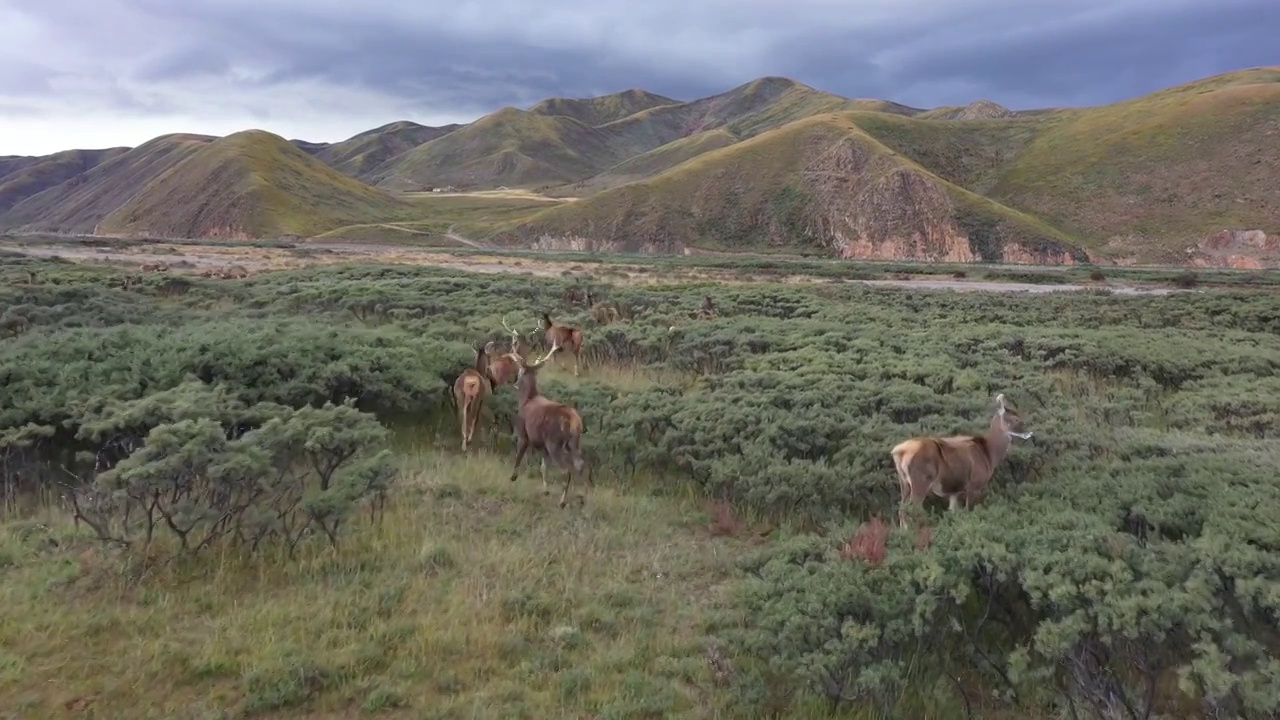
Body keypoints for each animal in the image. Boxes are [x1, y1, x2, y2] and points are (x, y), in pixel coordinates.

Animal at [509, 333, 588, 507]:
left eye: (520, 371)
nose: (515, 382)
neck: (526, 400)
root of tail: (574, 422)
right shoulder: (542, 445)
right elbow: (543, 467)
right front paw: (545, 490)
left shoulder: (523, 433)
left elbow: (518, 457)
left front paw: (513, 477)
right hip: (574, 442)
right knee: (580, 464)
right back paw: (582, 497)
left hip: (554, 442)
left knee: (566, 469)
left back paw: (563, 501)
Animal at [896, 392, 1034, 527]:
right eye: (1014, 419)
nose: (1029, 433)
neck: (989, 454)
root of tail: (899, 452)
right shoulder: (974, 484)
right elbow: (969, 511)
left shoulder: (954, 492)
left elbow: (953, 512)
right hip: (921, 480)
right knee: (910, 509)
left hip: (904, 483)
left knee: (901, 508)